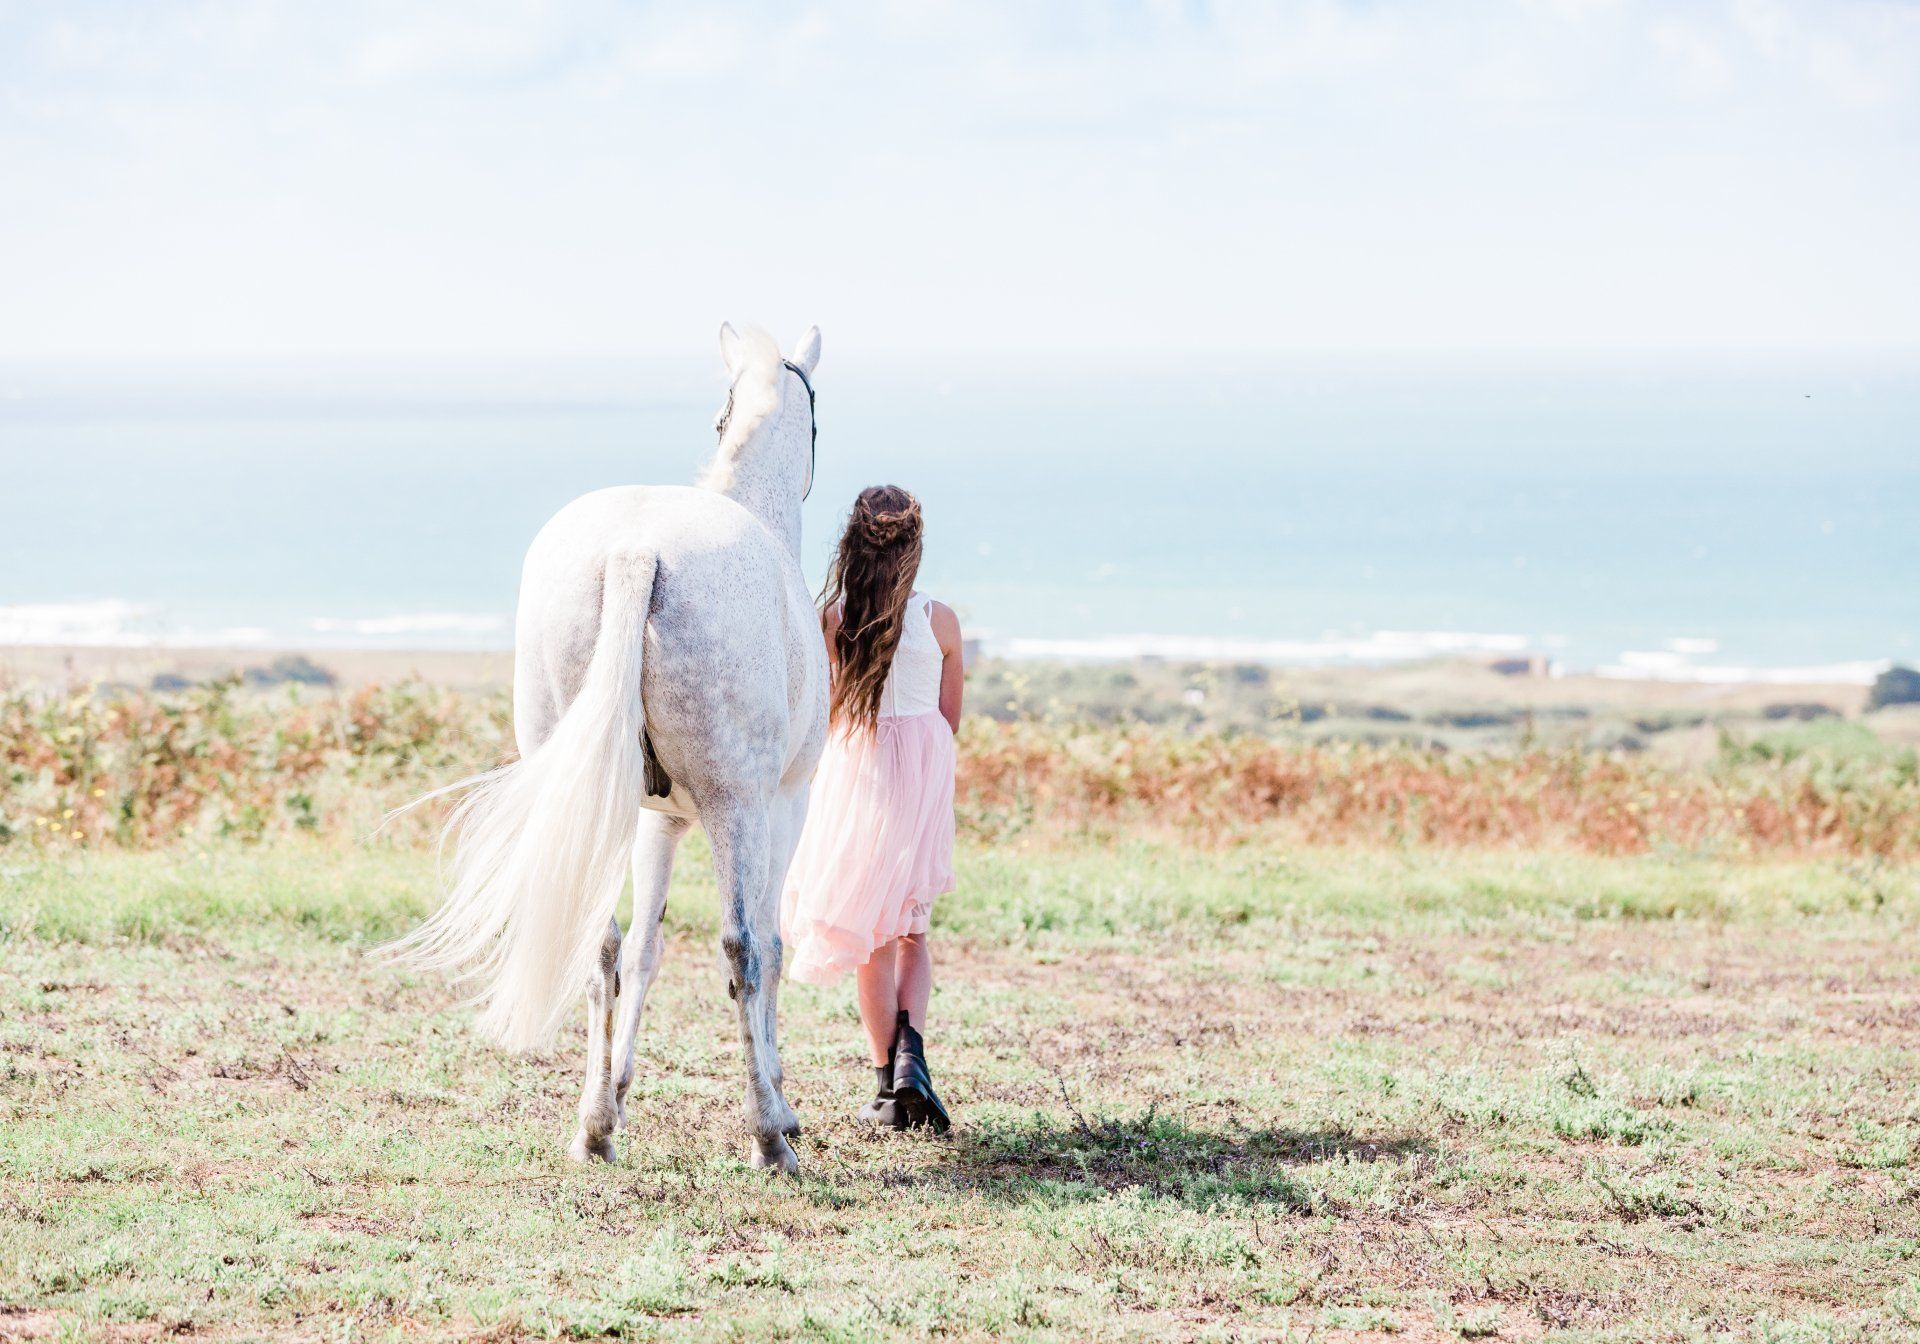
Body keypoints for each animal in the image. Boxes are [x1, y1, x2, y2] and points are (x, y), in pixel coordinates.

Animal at [391, 323, 829, 1174]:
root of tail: (635, 551)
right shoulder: (783, 807)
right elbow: (770, 943)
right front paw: (784, 1105)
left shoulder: (656, 819)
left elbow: (647, 951)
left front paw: (619, 1094)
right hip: (735, 807)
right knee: (741, 948)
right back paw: (767, 1139)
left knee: (603, 945)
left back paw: (593, 1129)